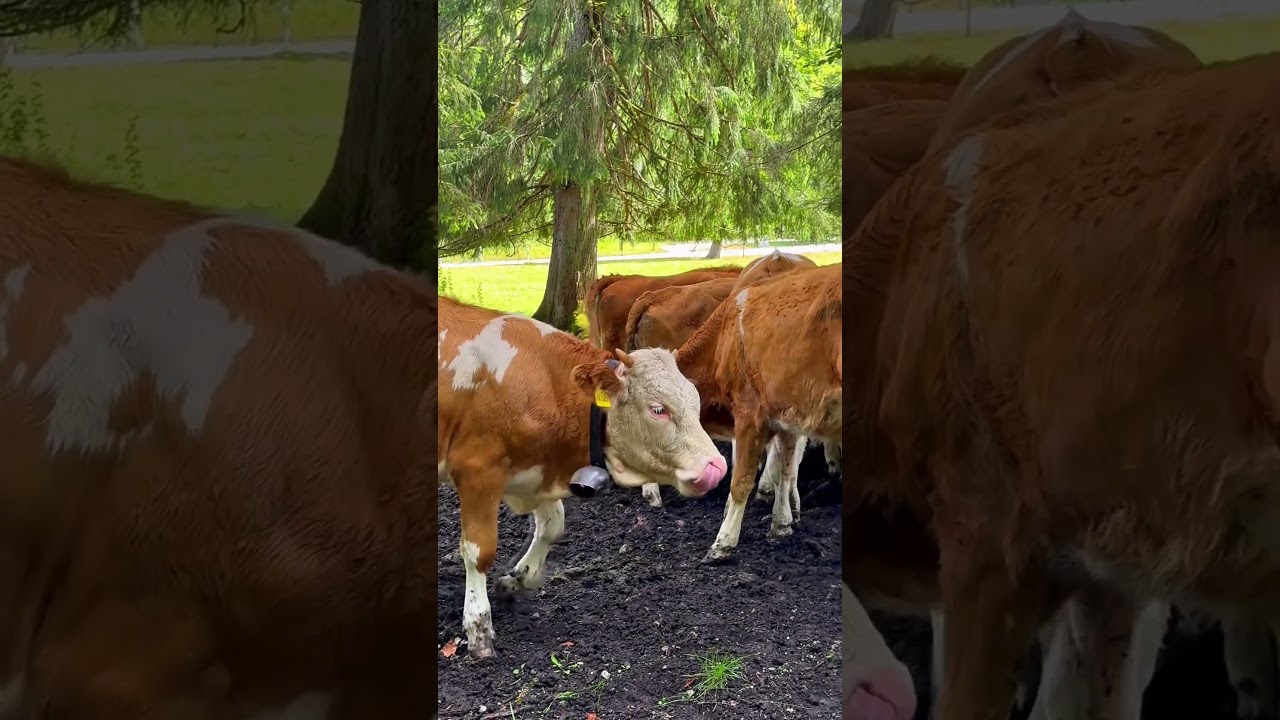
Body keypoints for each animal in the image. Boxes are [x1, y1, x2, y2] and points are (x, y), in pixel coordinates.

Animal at [438, 296, 727, 659]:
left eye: (696, 403)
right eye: (658, 409)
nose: (716, 468)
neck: (544, 382)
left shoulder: (535, 473)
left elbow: (552, 527)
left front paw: (517, 578)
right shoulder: (476, 471)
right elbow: (479, 552)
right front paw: (479, 627)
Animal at [677, 263, 840, 562]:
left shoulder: (750, 415)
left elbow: (742, 479)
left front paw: (724, 542)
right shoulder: (788, 419)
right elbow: (784, 471)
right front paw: (783, 522)